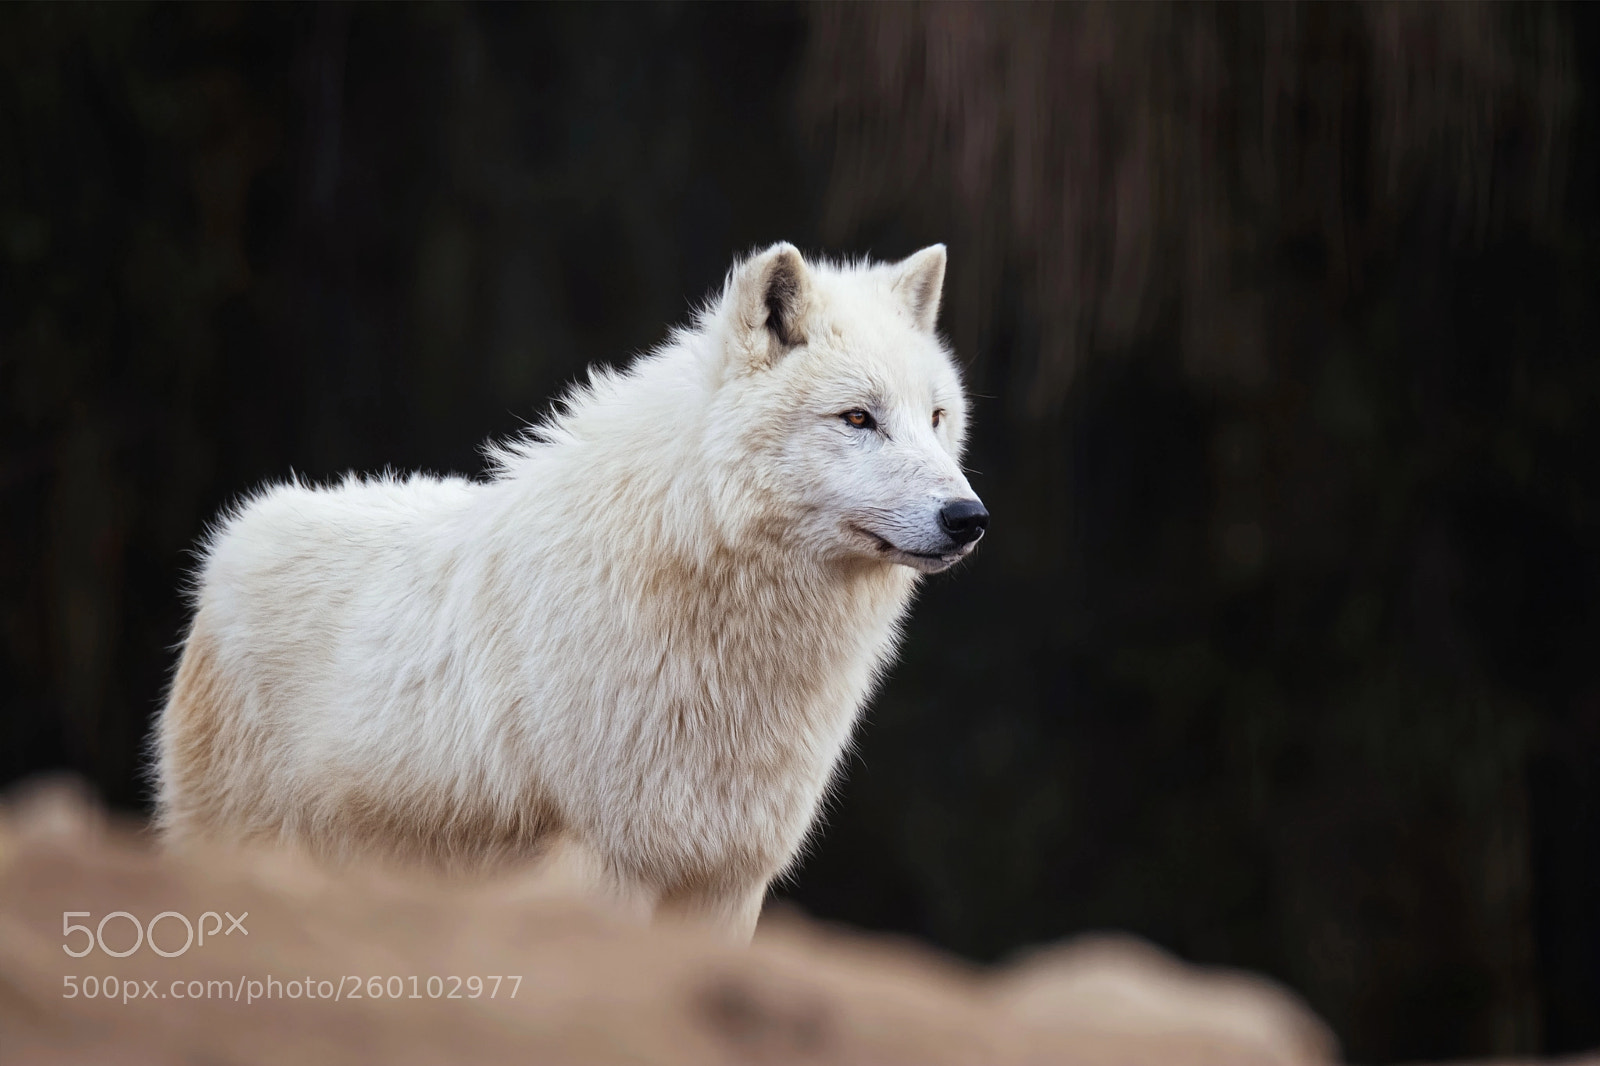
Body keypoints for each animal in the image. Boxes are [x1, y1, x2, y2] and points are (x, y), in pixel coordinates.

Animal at [153, 242, 987, 941]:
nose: (968, 518)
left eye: (936, 417)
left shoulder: (724, 882)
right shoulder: (602, 863)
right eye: (858, 418)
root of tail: (236, 534)